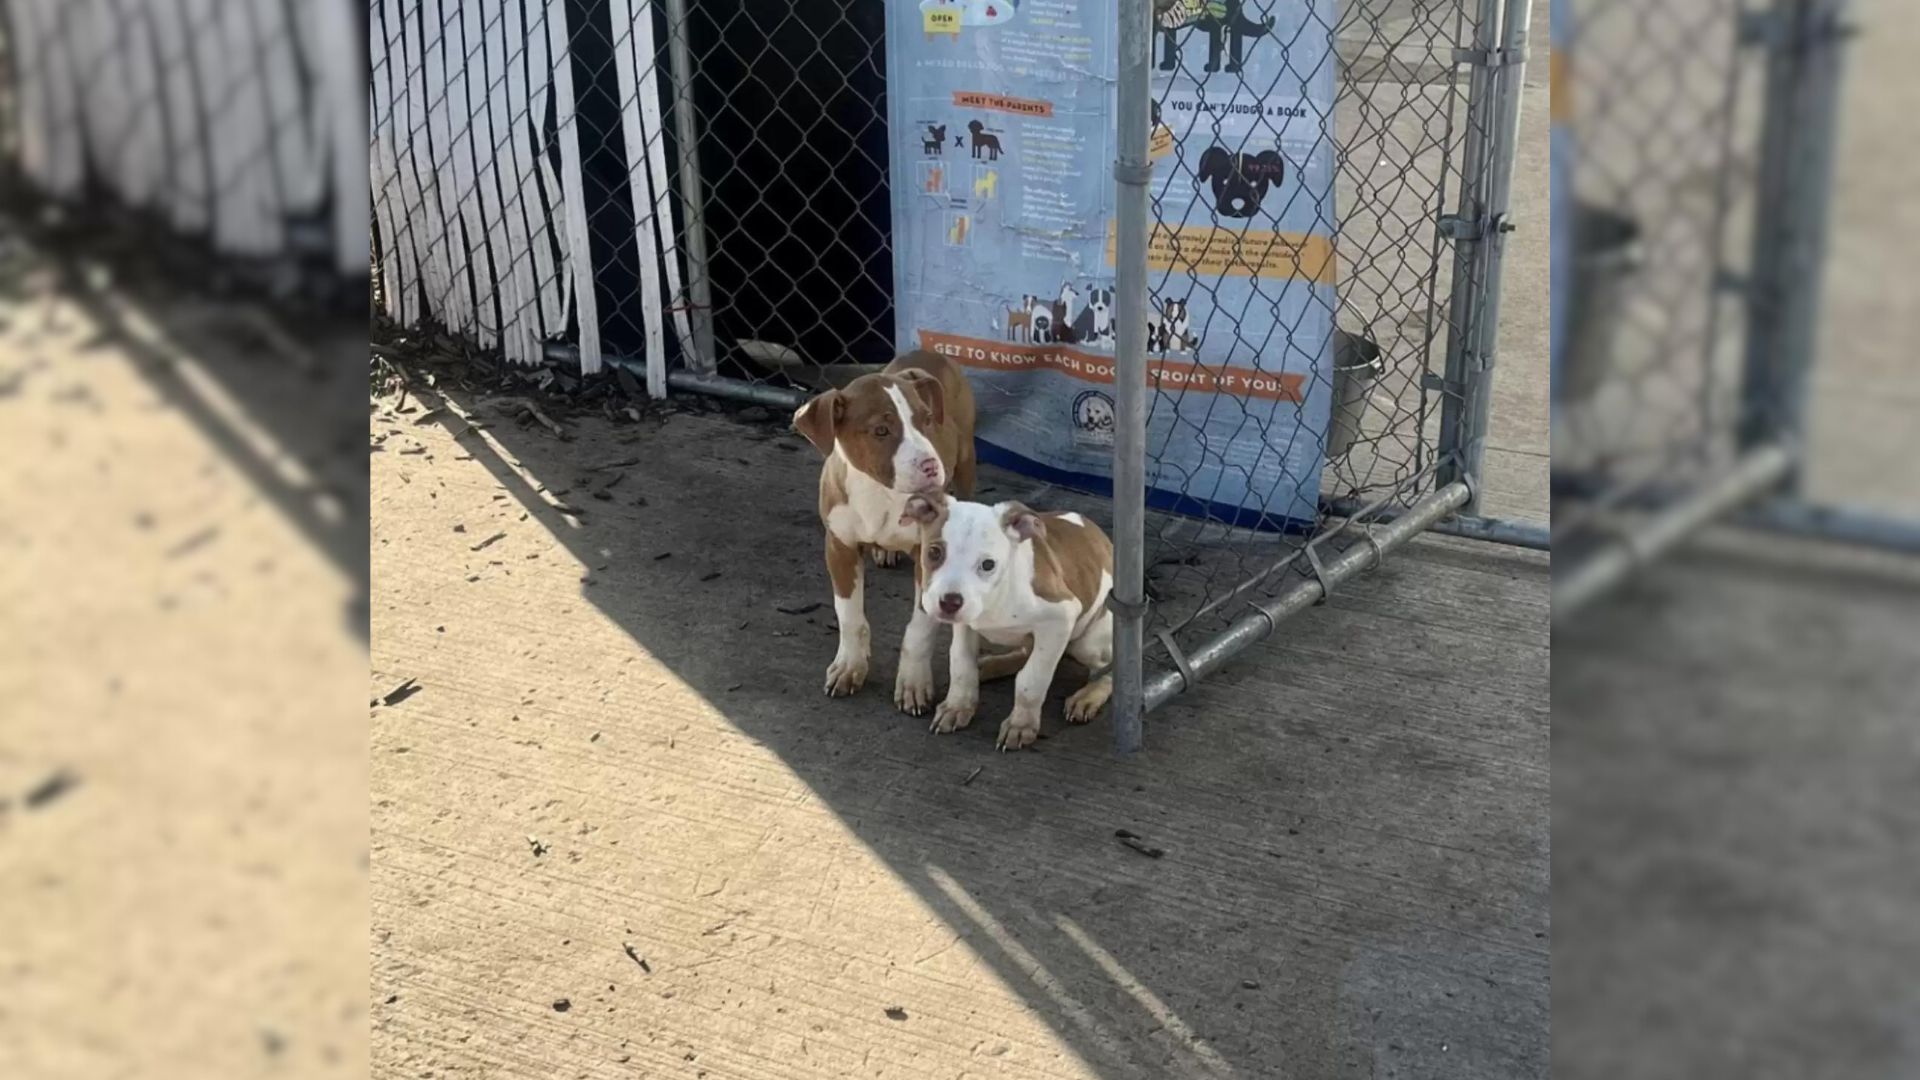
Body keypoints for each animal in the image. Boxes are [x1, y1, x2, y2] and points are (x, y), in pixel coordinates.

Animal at [791, 345, 975, 699]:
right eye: (881, 431)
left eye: (926, 420)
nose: (931, 466)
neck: (880, 492)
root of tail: (928, 351)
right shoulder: (839, 547)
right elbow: (849, 615)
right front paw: (849, 666)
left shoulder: (926, 556)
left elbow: (920, 627)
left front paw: (914, 681)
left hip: (966, 458)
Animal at [902, 490, 1121, 749]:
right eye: (934, 552)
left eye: (988, 565)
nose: (950, 602)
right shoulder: (966, 625)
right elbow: (961, 664)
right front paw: (957, 707)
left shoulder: (1060, 618)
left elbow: (1032, 679)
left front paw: (1021, 725)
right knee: (1023, 654)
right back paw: (988, 666)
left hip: (1088, 642)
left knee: (1107, 670)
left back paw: (1087, 697)